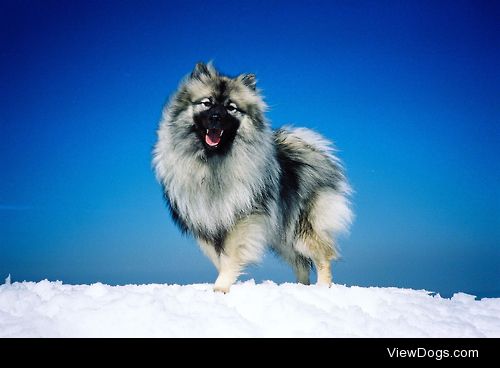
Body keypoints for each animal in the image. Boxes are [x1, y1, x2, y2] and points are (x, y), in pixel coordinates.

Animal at [152, 63, 352, 294]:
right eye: (207, 103)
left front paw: (221, 287)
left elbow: (229, 257)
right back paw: (299, 288)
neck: (213, 162)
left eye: (231, 108)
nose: (215, 118)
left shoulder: (241, 219)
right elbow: (218, 258)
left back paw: (322, 287)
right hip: (283, 235)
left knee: (322, 255)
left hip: (301, 228)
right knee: (301, 263)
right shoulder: (206, 222)